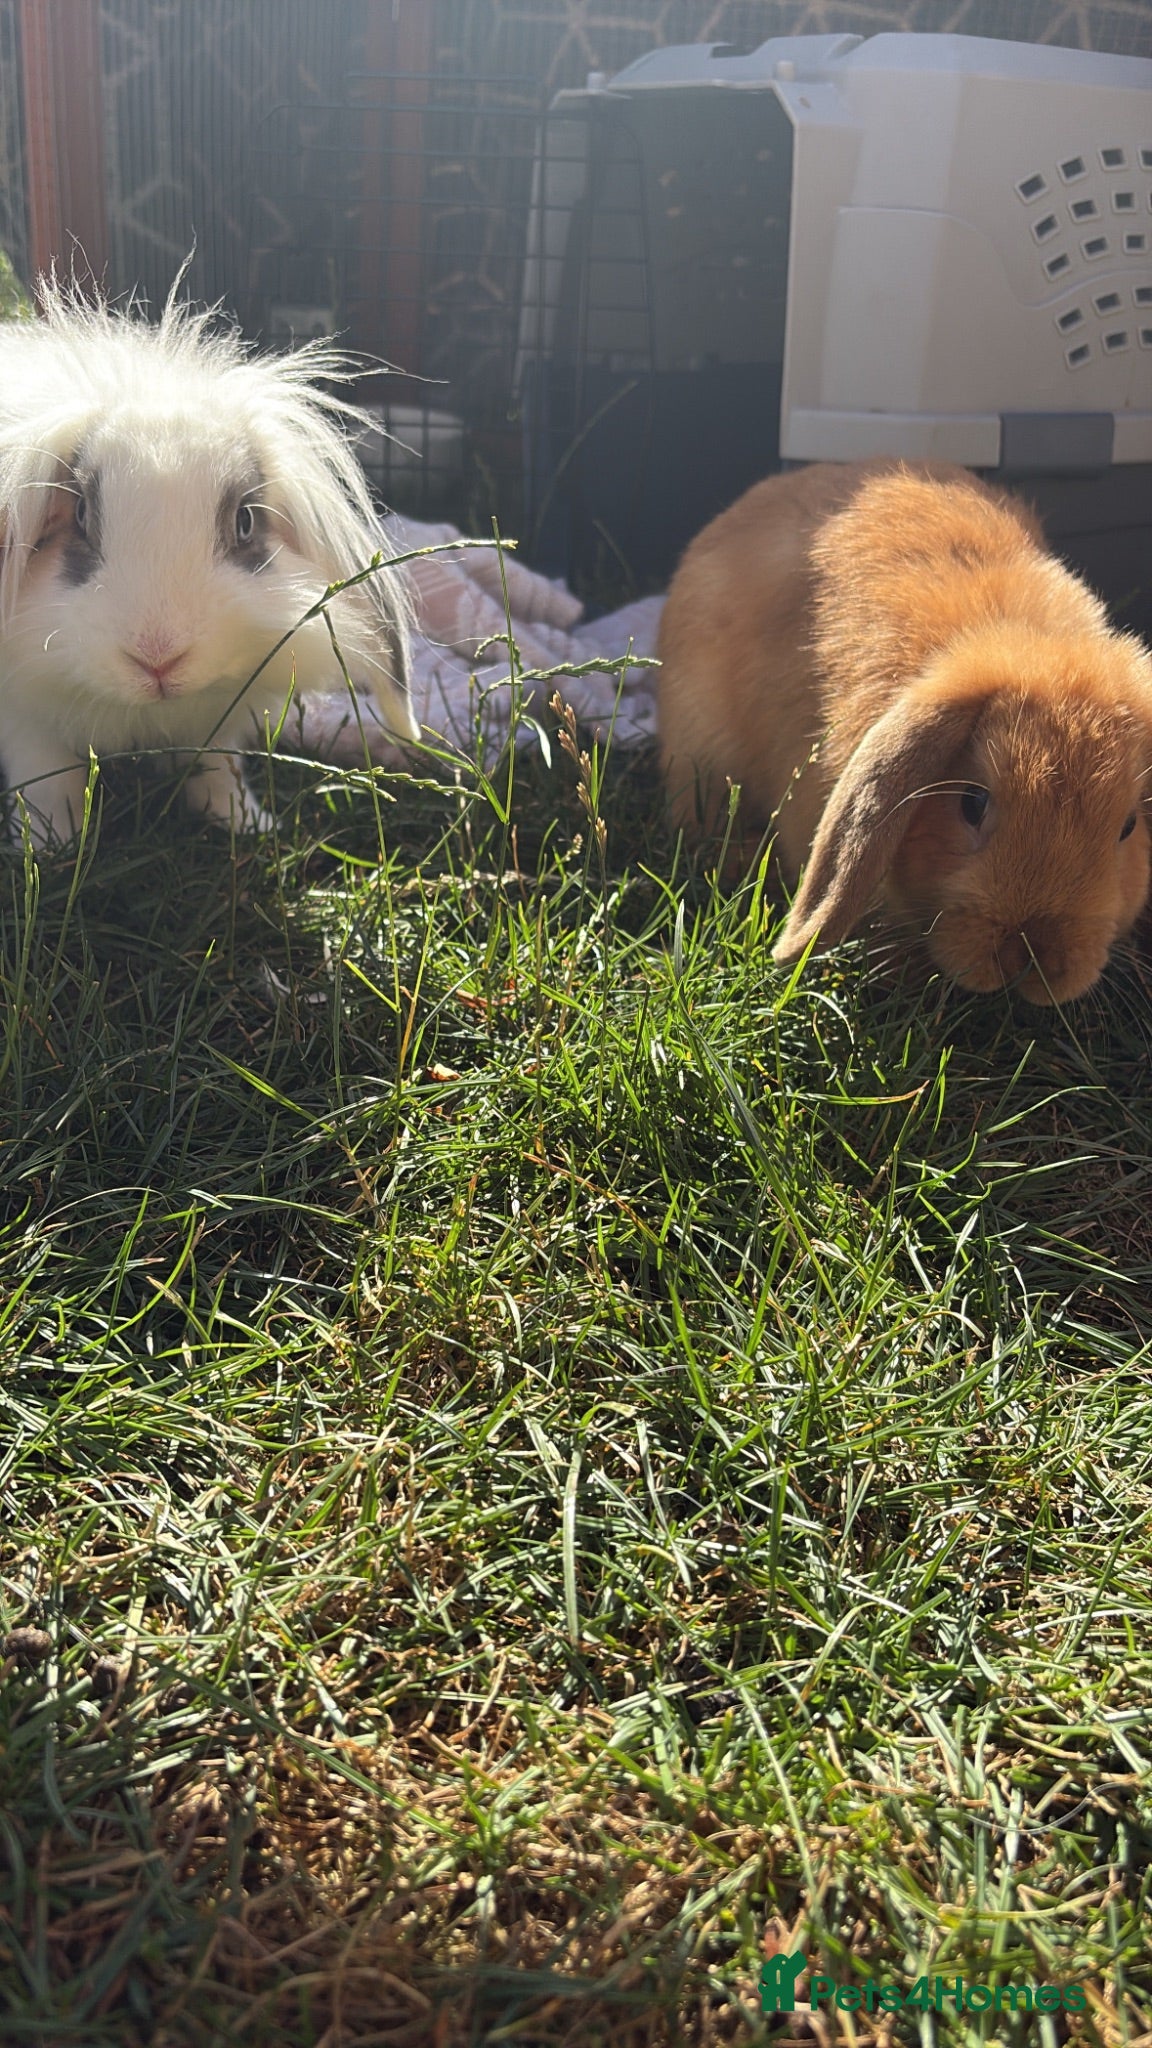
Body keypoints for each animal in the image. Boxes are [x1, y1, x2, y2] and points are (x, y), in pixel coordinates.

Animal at [0, 272, 417, 846]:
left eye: (245, 522)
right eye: (81, 514)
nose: (158, 657)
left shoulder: (216, 724)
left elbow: (218, 774)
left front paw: (248, 826)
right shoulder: (27, 724)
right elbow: (47, 785)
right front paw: (52, 847)